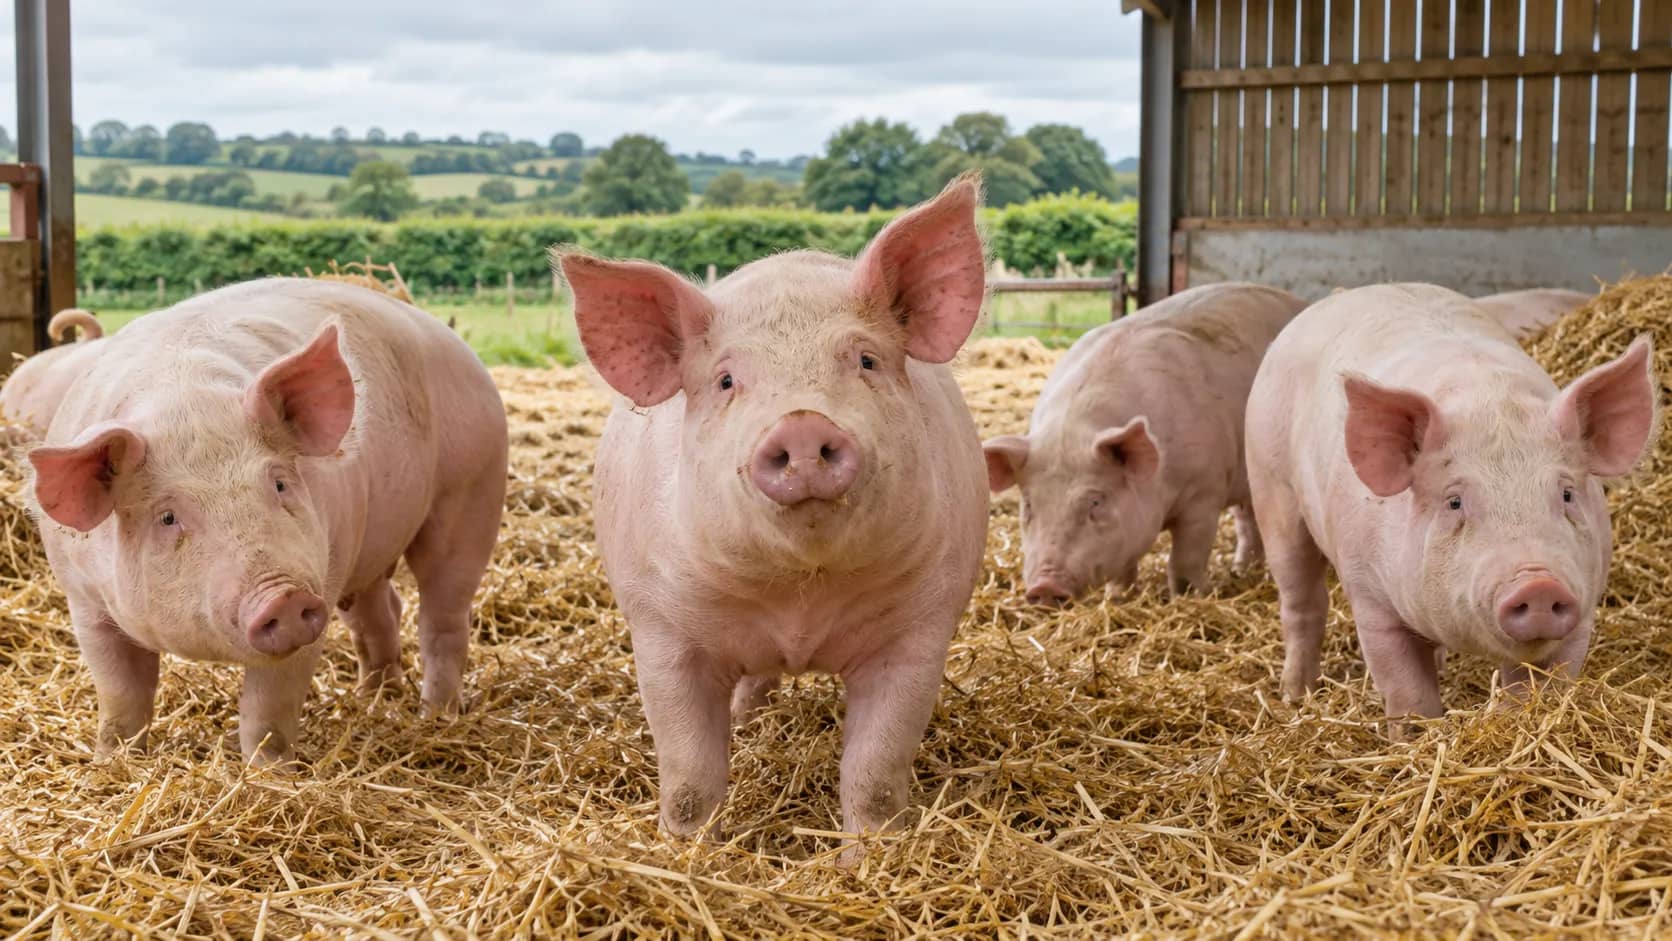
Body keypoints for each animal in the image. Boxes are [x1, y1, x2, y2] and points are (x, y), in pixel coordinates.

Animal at [28, 278, 508, 762]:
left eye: (278, 484)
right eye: (167, 517)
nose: (283, 596)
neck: (184, 399)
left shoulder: (320, 582)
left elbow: (269, 705)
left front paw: (269, 769)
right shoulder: (84, 602)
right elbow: (120, 693)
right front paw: (112, 762)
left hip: (472, 489)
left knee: (442, 618)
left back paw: (437, 715)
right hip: (365, 547)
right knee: (381, 612)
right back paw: (375, 699)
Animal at [557, 175, 989, 853]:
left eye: (866, 361)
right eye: (726, 380)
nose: (803, 423)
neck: (797, 602)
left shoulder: (919, 632)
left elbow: (875, 773)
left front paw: (866, 858)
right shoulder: (661, 631)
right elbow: (689, 774)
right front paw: (690, 851)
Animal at [983, 283, 1308, 603]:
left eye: (1096, 501)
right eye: (1028, 505)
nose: (1044, 587)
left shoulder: (1205, 492)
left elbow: (1184, 560)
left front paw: (1189, 598)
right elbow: (1123, 568)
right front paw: (1117, 598)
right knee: (1247, 519)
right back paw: (1241, 571)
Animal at [1246, 283, 1655, 738]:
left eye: (1566, 494)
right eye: (1455, 501)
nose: (1538, 584)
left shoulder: (1583, 610)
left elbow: (1541, 687)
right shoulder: (1371, 599)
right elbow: (1407, 691)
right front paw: (1413, 739)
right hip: (1271, 488)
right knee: (1301, 599)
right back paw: (1295, 695)